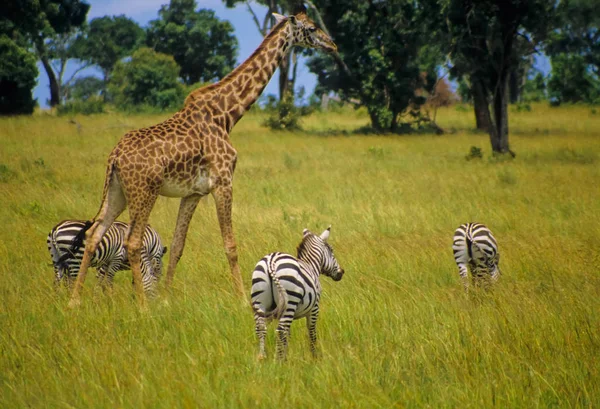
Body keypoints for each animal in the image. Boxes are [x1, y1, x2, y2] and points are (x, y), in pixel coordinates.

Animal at [68, 7, 338, 306]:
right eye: (311, 28)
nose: (333, 45)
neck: (226, 115)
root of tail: (114, 156)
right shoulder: (223, 182)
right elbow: (230, 244)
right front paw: (242, 299)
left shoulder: (193, 193)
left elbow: (177, 245)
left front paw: (166, 298)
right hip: (143, 192)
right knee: (133, 241)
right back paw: (142, 306)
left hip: (117, 191)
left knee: (94, 234)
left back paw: (74, 301)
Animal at [250, 226, 344, 360]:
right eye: (331, 250)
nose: (342, 272)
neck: (311, 265)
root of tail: (271, 261)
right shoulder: (315, 307)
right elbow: (311, 331)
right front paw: (314, 356)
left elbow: (287, 336)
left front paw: (286, 355)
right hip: (290, 300)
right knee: (281, 330)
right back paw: (278, 361)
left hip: (259, 299)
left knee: (261, 328)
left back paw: (262, 357)